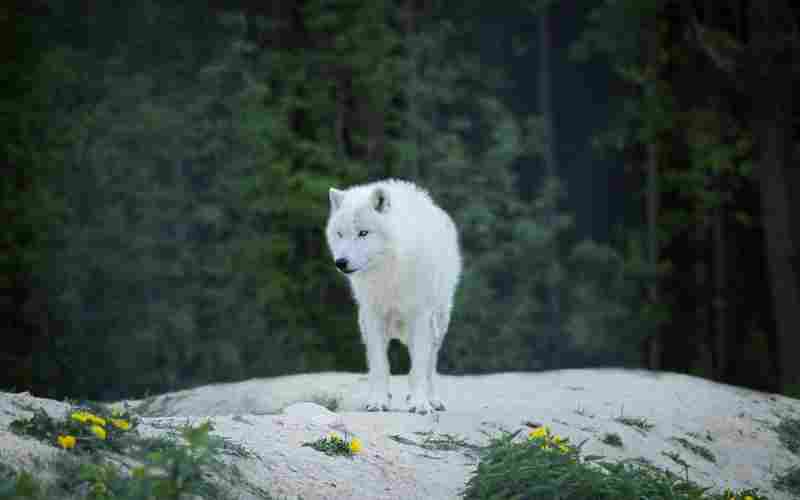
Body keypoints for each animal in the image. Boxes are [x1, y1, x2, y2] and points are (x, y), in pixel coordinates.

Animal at [324, 180, 462, 414]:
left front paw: (420, 403)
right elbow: (380, 366)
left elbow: (419, 368)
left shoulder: (420, 317)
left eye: (363, 233)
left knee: (429, 365)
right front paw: (378, 401)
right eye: (340, 234)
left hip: (438, 323)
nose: (340, 262)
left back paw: (432, 399)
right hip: (364, 324)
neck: (388, 273)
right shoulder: (373, 317)